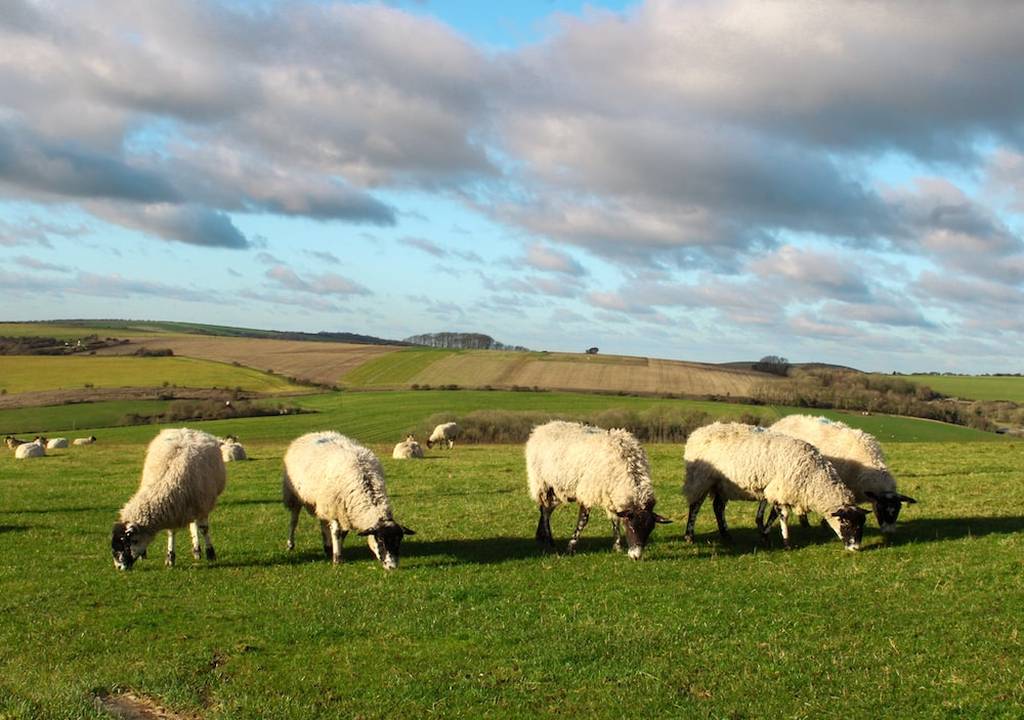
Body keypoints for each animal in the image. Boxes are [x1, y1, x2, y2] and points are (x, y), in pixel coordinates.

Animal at [110, 428, 226, 573]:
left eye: (127, 543)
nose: (119, 567)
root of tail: (186, 429)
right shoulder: (173, 508)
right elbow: (171, 532)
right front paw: (170, 557)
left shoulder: (202, 505)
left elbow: (204, 530)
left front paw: (211, 553)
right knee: (193, 524)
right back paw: (196, 550)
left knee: (196, 525)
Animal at [282, 430, 413, 573]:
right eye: (380, 540)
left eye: (399, 541)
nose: (392, 566)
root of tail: (310, 434)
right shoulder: (335, 507)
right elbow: (336, 532)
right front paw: (337, 559)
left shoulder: (343, 511)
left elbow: (343, 533)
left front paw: (337, 550)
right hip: (294, 495)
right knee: (294, 521)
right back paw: (290, 544)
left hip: (322, 501)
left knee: (323, 522)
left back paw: (327, 546)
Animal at [528, 421, 671, 565]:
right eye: (631, 527)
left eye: (650, 530)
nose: (636, 557)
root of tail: (542, 427)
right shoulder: (587, 491)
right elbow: (583, 521)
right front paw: (571, 547)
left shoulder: (612, 494)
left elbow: (615, 520)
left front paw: (617, 547)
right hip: (543, 484)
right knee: (545, 511)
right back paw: (550, 541)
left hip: (558, 489)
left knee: (546, 509)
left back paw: (541, 536)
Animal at [684, 421, 868, 553]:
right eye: (847, 523)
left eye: (861, 525)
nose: (856, 548)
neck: (813, 475)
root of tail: (698, 432)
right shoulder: (780, 489)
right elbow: (783, 515)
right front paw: (786, 543)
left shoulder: (777, 490)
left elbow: (772, 514)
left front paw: (765, 535)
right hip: (701, 478)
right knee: (695, 506)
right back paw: (689, 536)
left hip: (722, 484)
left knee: (718, 507)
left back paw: (726, 535)